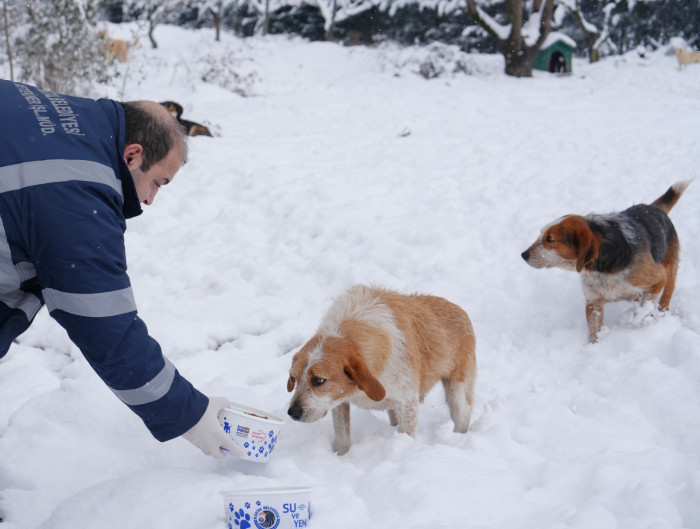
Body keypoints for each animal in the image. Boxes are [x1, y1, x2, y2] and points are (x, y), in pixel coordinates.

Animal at [284, 284, 476, 454]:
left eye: (318, 380)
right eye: (295, 378)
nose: (292, 412)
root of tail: (459, 309)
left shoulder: (408, 403)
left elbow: (407, 433)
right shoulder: (339, 402)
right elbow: (342, 436)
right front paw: (342, 457)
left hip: (458, 394)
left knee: (461, 418)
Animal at [524, 179, 692, 340]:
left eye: (550, 239)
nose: (523, 255)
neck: (602, 269)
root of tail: (653, 208)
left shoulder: (657, 279)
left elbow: (643, 310)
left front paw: (637, 320)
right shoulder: (594, 303)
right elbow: (595, 332)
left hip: (670, 271)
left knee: (666, 295)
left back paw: (661, 315)